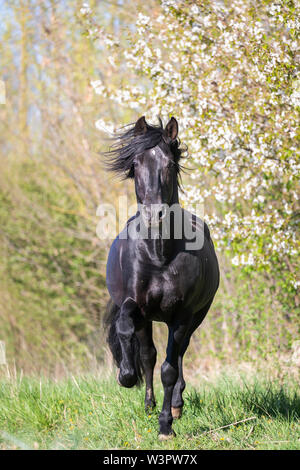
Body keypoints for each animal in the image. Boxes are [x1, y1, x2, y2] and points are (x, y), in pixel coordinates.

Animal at [104, 115, 219, 438]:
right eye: (136, 164)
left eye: (169, 164)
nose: (154, 214)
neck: (158, 254)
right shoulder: (135, 305)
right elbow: (128, 332)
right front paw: (125, 376)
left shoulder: (182, 314)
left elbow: (170, 368)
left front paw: (166, 425)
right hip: (149, 319)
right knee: (148, 355)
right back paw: (147, 403)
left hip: (195, 316)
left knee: (178, 354)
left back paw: (176, 406)